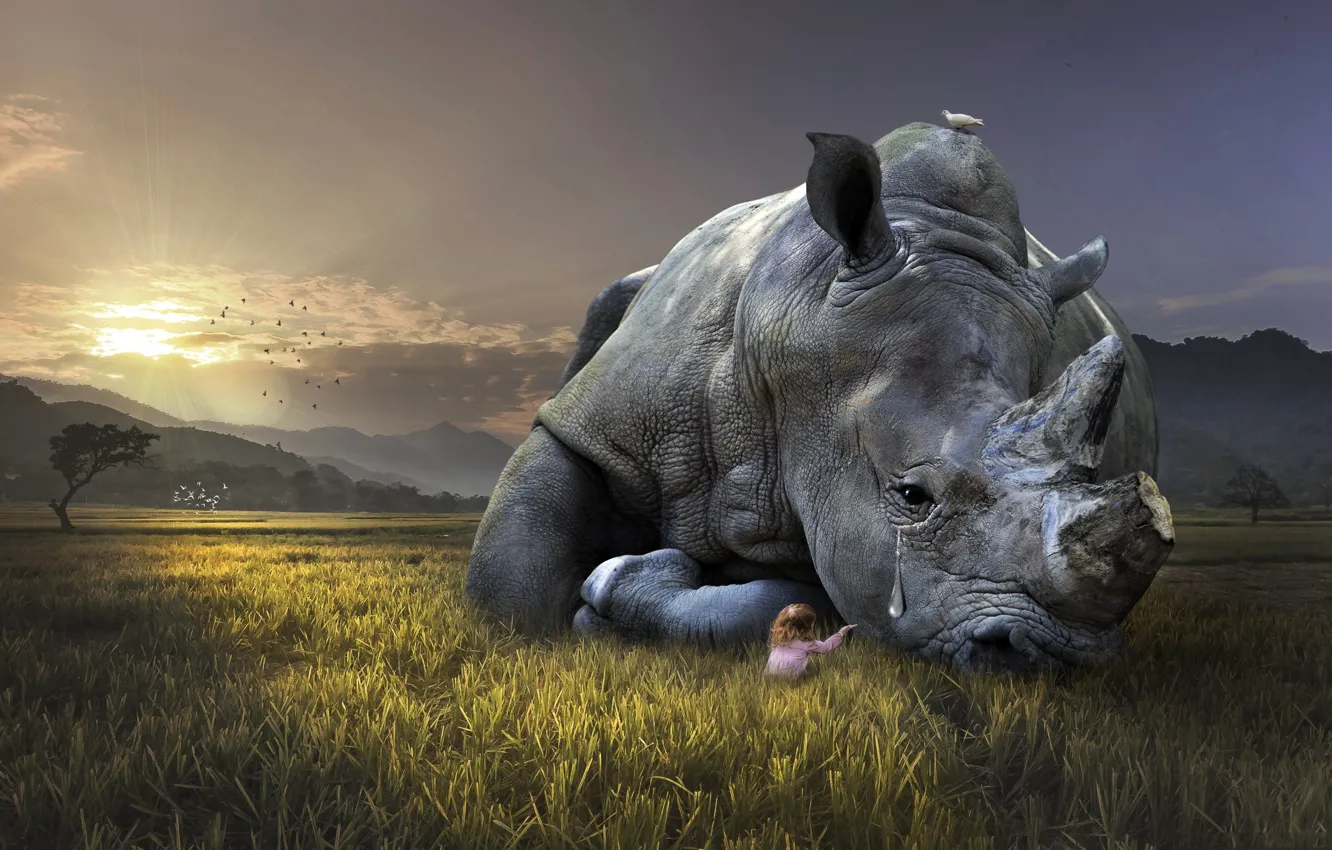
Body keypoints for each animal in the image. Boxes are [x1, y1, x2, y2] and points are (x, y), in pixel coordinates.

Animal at [464, 121, 1175, 673]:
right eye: (912, 496)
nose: (1056, 657)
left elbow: (788, 606)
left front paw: (618, 593)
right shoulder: (602, 421)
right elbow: (509, 587)